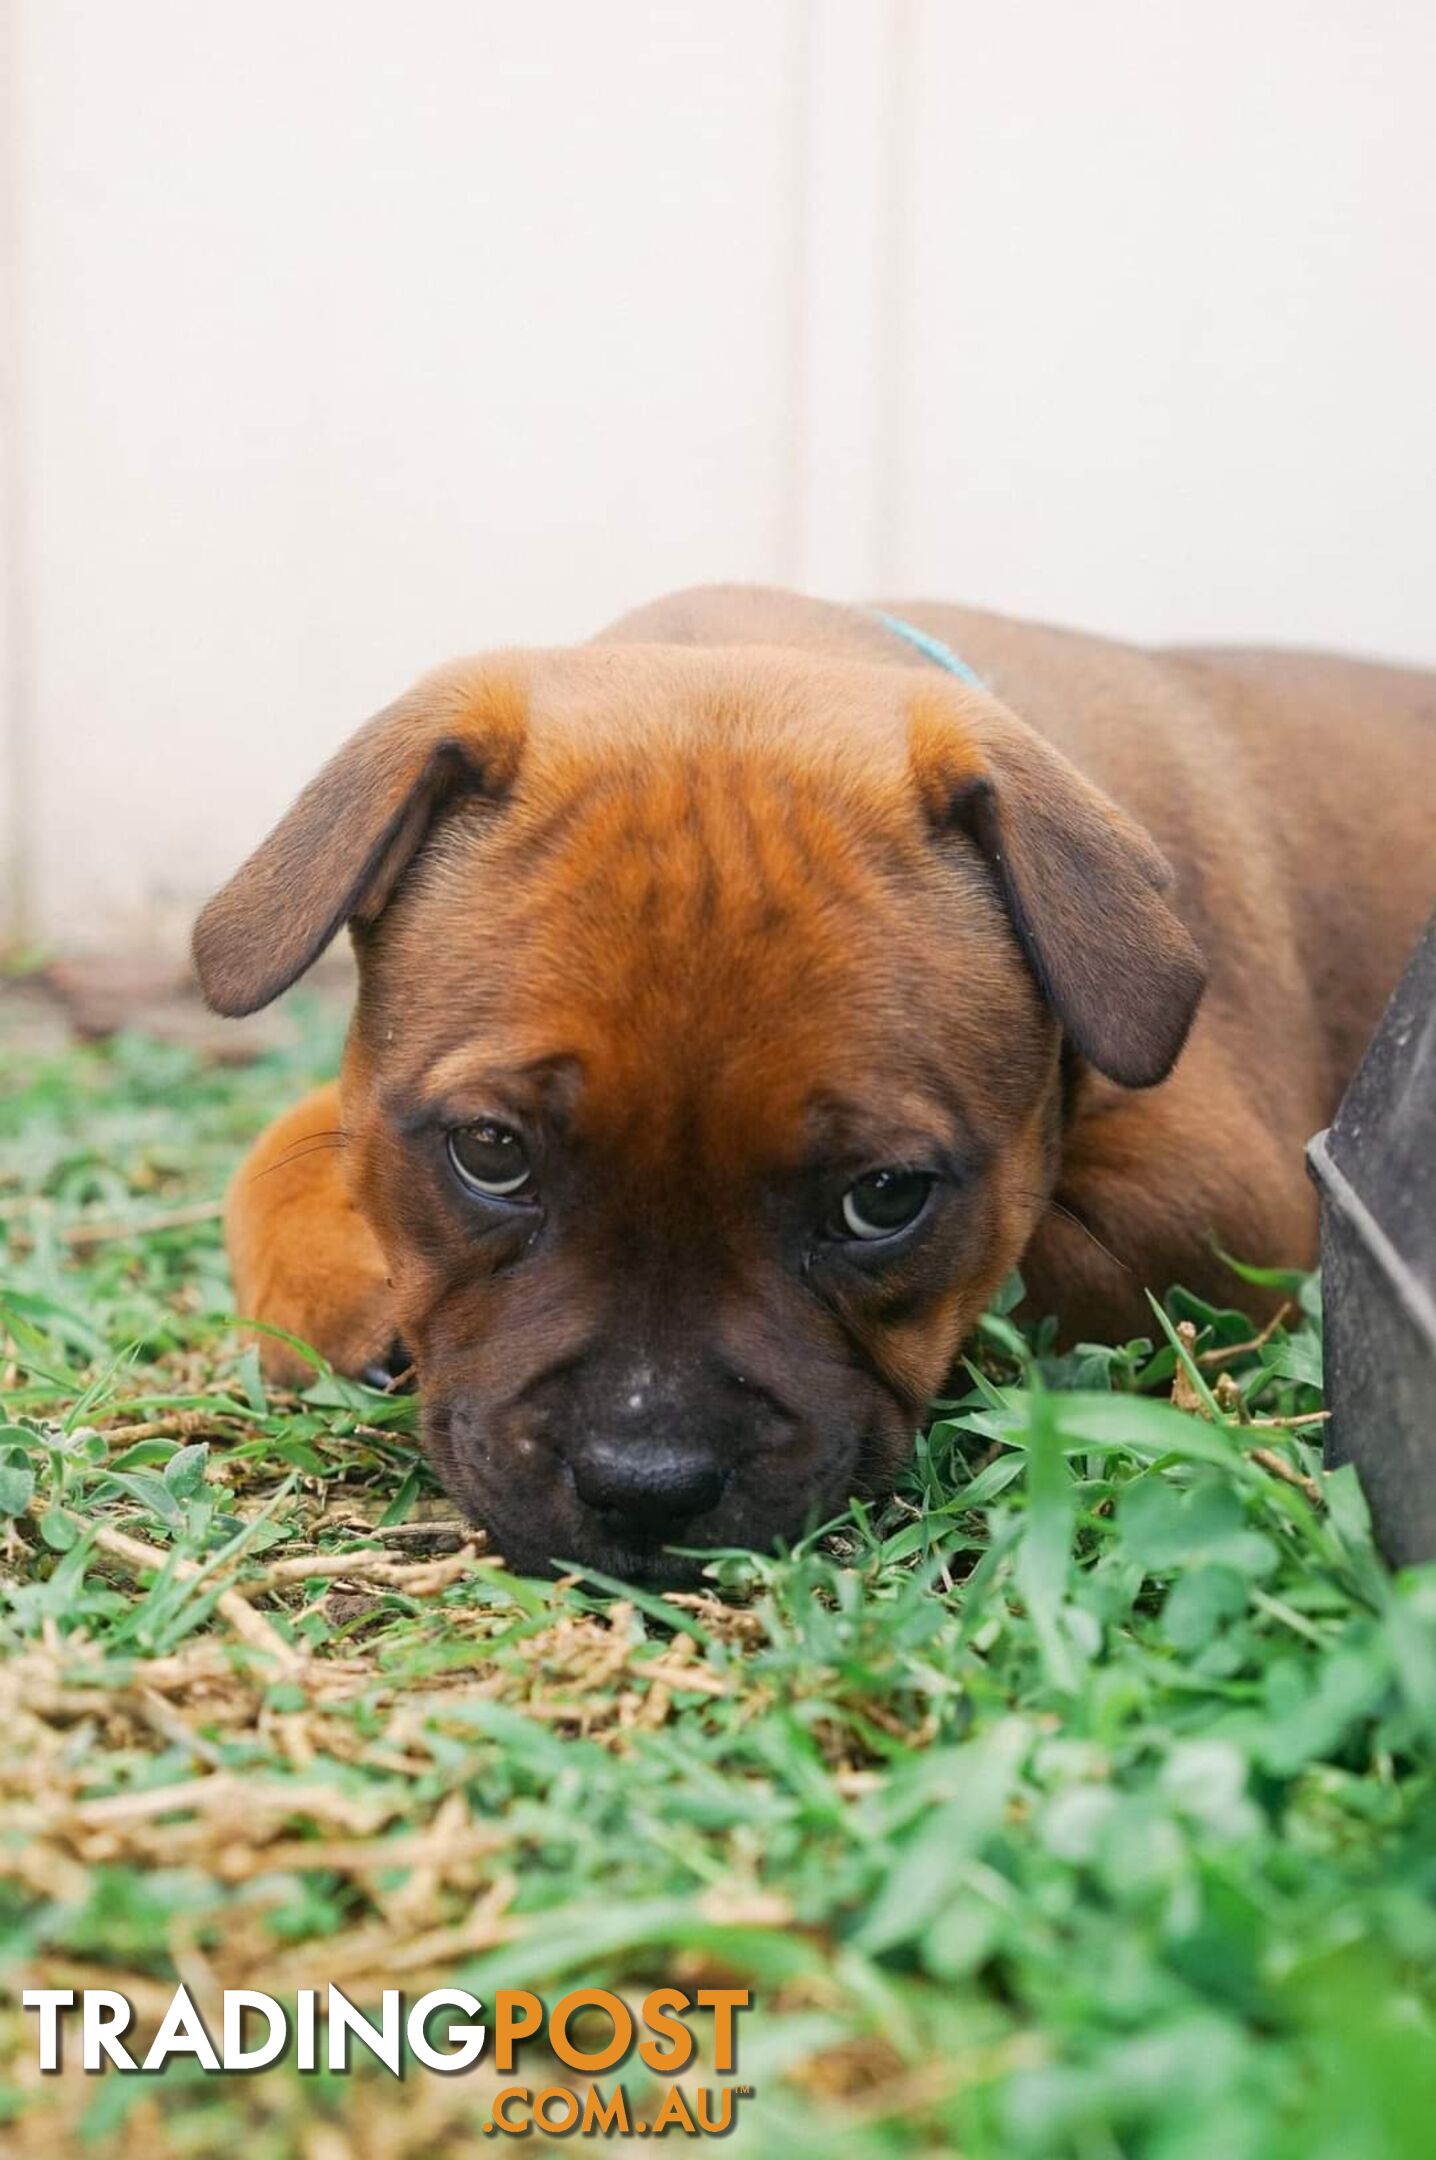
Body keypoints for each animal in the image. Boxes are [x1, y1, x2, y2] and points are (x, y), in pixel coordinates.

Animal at [193, 583, 1433, 1581]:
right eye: (490, 1154)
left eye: (881, 1200)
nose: (645, 1485)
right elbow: (277, 1145)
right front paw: (325, 1289)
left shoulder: (1215, 1216)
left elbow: (1022, 1274)